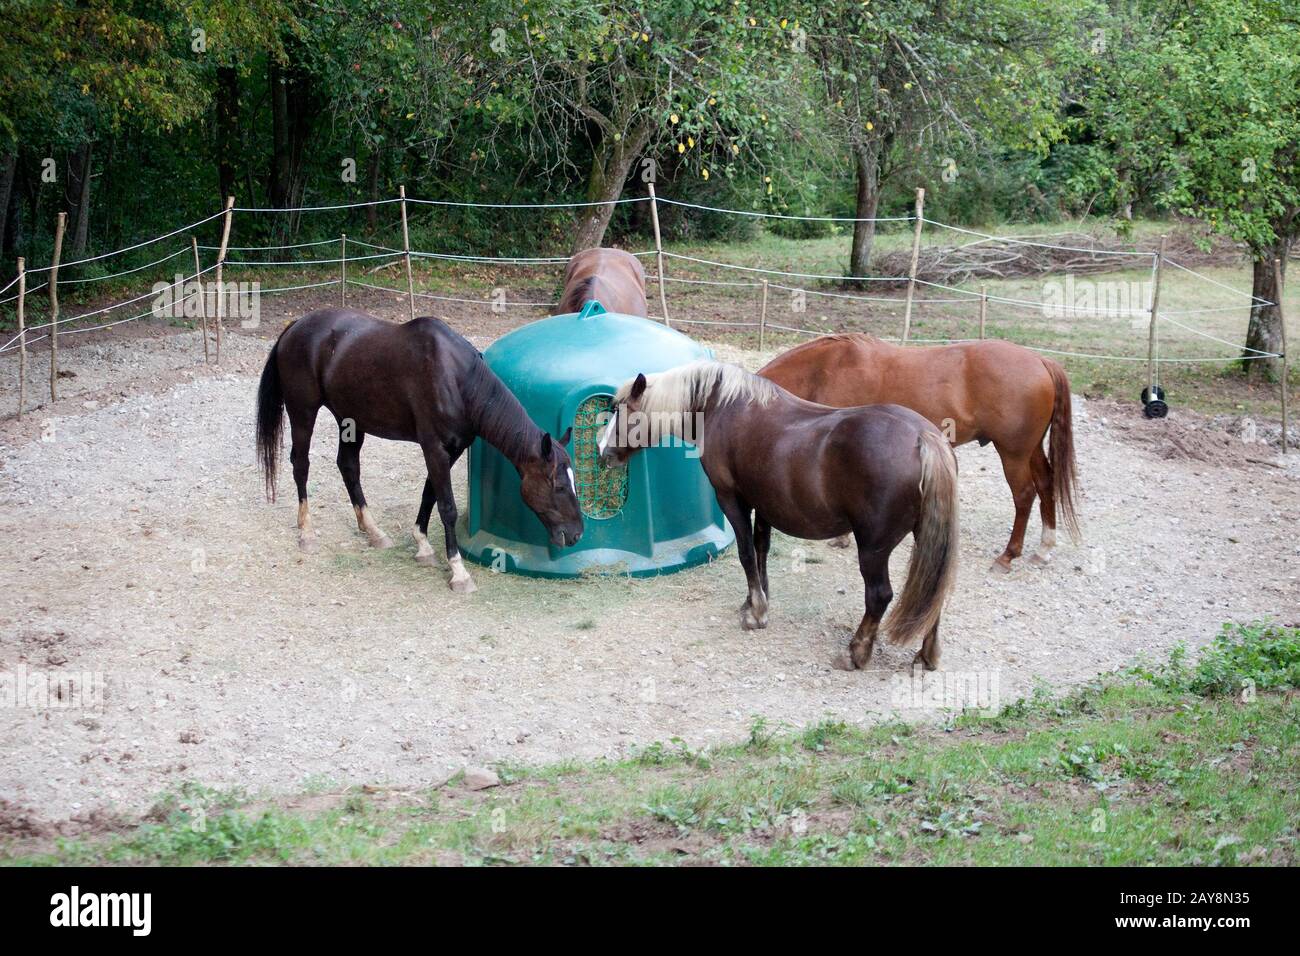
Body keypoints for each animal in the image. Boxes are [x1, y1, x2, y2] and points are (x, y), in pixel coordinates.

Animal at [256, 308, 582, 590]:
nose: (576, 534)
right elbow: (447, 506)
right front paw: (458, 571)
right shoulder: (434, 448)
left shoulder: (451, 450)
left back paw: (373, 531)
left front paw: (423, 545)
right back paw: (306, 532)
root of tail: (296, 326)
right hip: (303, 412)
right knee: (301, 464)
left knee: (348, 466)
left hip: (349, 420)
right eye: (558, 486)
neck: (457, 380)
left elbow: (429, 494)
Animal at [595, 361, 956, 671]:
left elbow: (745, 553)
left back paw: (856, 652)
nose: (602, 453)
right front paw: (756, 601)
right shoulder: (765, 502)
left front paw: (756, 612)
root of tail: (924, 439)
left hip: (872, 548)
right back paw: (926, 654)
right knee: (933, 590)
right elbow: (760, 551)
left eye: (622, 412)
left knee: (879, 596)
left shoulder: (732, 499)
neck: (723, 408)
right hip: (926, 536)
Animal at [759, 332, 1081, 572]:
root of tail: (1040, 360)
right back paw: (1044, 548)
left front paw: (842, 536)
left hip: (1013, 453)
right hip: (1030, 450)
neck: (825, 370)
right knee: (1046, 484)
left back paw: (1008, 555)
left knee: (1025, 494)